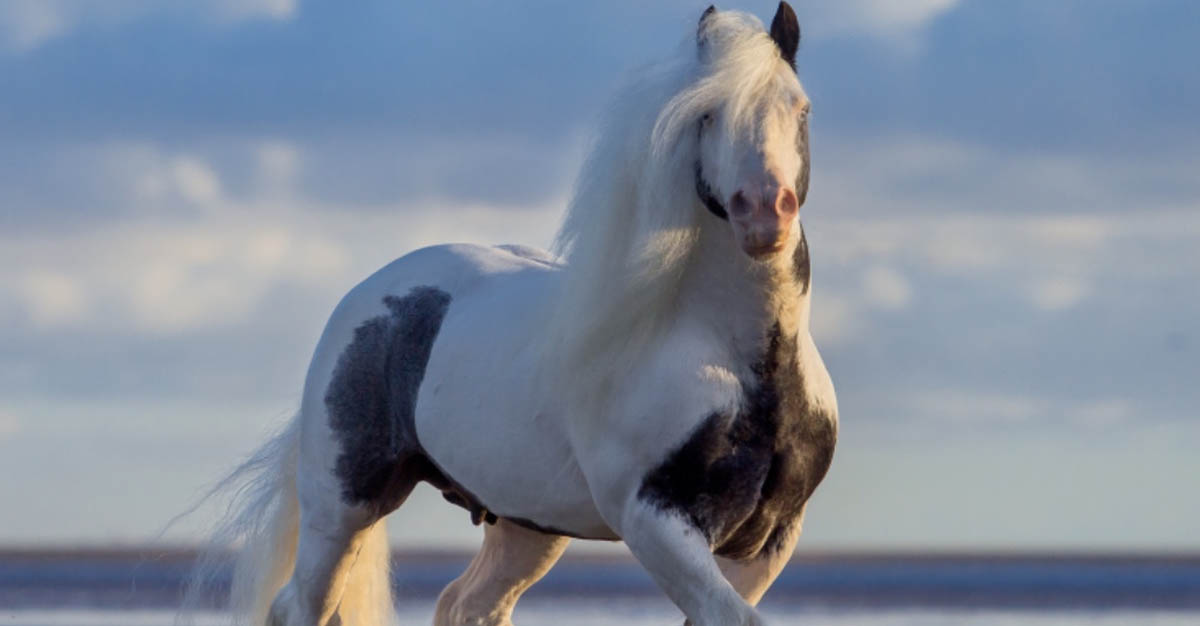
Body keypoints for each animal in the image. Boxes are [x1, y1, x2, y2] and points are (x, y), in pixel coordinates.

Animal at [184, 4, 835, 623]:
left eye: (801, 109)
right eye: (707, 116)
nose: (763, 213)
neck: (741, 362)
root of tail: (369, 295)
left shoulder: (770, 539)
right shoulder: (656, 521)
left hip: (528, 524)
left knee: (469, 605)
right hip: (343, 506)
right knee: (301, 605)